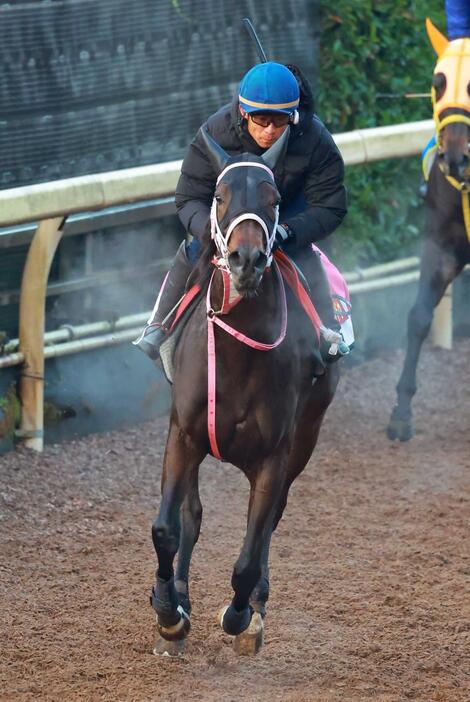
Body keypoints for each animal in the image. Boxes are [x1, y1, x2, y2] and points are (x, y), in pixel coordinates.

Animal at [151, 128, 338, 660]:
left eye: (274, 200)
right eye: (219, 195)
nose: (247, 259)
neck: (240, 353)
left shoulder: (276, 454)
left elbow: (252, 552)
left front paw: (241, 616)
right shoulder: (184, 433)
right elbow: (169, 528)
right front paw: (169, 609)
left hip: (306, 438)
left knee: (270, 523)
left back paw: (254, 607)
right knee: (191, 516)